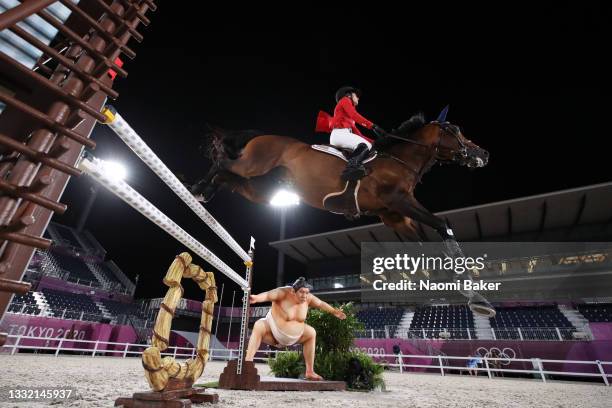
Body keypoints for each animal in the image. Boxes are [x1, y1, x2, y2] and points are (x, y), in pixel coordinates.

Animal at [194, 107, 494, 316]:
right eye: (455, 130)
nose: (484, 154)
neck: (399, 160)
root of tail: (263, 135)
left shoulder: (395, 216)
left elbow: (427, 248)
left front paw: (468, 296)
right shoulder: (399, 202)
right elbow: (442, 226)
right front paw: (475, 296)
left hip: (260, 189)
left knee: (227, 177)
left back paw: (205, 190)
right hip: (254, 164)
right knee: (223, 163)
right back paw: (198, 187)